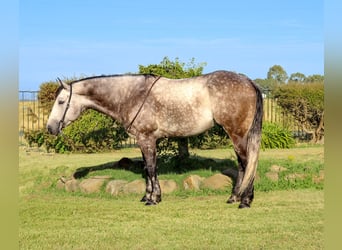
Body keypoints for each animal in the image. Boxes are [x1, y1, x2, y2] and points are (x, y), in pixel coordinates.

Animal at [46, 71, 264, 209]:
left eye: (61, 101)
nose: (50, 128)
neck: (132, 95)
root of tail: (248, 81)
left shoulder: (147, 139)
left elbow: (151, 168)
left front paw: (153, 199)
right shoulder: (145, 141)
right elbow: (147, 168)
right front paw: (147, 196)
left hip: (237, 134)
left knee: (247, 163)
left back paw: (245, 201)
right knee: (243, 164)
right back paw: (234, 197)